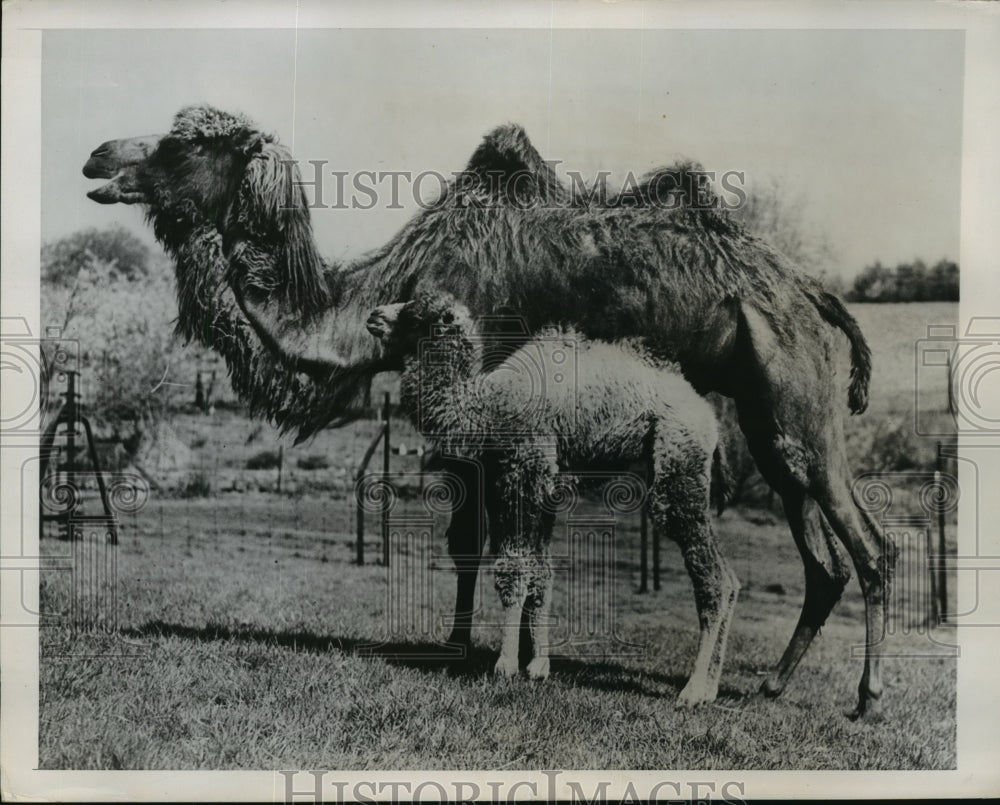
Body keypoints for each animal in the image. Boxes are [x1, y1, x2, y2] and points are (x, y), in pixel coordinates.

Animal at [365, 292, 740, 705]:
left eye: (416, 315)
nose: (374, 316)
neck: (483, 406)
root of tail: (712, 422)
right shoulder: (534, 486)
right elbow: (540, 572)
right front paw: (537, 666)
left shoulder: (522, 473)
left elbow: (514, 569)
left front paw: (505, 666)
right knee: (731, 580)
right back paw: (711, 688)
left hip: (678, 457)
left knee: (713, 577)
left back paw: (693, 690)